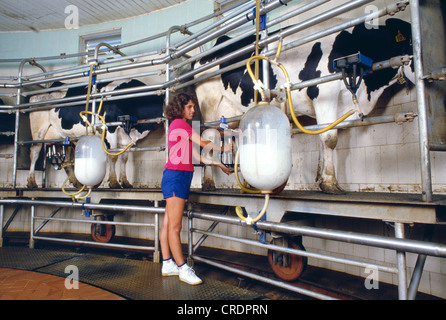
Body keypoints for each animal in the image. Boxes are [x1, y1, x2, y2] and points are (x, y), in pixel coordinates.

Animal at [27, 79, 165, 188]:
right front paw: (114, 182)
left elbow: (124, 158)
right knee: (34, 152)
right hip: (38, 130)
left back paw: (76, 182)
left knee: (66, 159)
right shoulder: (110, 127)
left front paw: (125, 182)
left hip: (66, 137)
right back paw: (32, 182)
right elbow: (113, 156)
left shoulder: (126, 137)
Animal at [195, 18, 414, 194]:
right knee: (209, 138)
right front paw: (330, 183)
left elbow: (322, 134)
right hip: (210, 106)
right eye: (412, 44)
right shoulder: (324, 94)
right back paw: (208, 183)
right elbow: (329, 138)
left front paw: (321, 179)